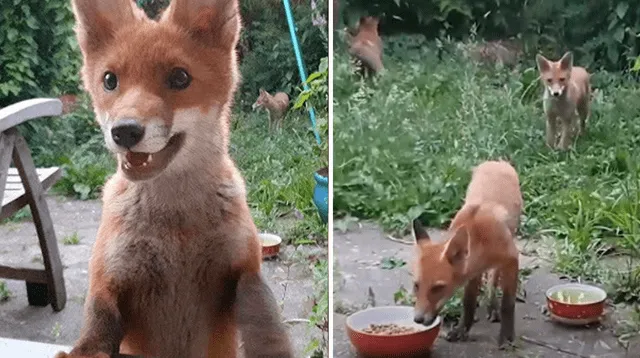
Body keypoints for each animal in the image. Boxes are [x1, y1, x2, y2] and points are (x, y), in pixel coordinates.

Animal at [55, 0, 296, 358]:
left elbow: (268, 331)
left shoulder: (245, 272)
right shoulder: (107, 285)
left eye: (180, 77)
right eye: (110, 80)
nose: (124, 132)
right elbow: (94, 336)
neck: (175, 229)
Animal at [412, 161, 524, 348]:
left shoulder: (511, 259)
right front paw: (462, 329)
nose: (418, 319)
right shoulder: (472, 271)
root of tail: (496, 161)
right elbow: (468, 303)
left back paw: (492, 306)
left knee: (493, 279)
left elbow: (508, 305)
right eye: (416, 285)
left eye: (438, 288)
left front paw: (507, 337)